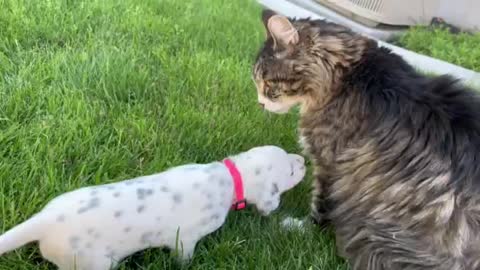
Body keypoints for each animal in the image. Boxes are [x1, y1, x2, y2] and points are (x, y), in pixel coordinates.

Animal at [0, 146, 306, 270]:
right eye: (291, 171)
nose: (304, 160)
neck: (231, 177)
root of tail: (44, 219)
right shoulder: (186, 239)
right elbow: (184, 257)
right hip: (92, 263)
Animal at [253, 8, 480, 270]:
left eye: (268, 84)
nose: (260, 103)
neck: (349, 75)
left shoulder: (329, 165)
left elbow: (321, 205)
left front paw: (300, 229)